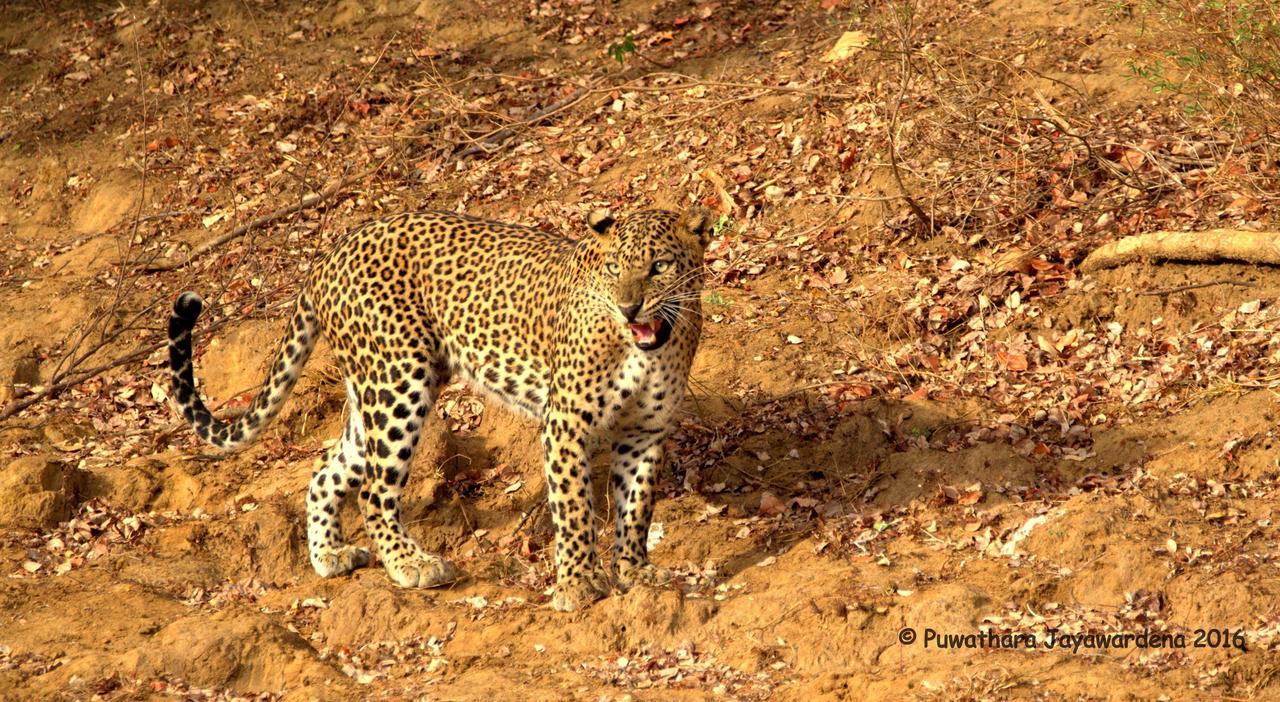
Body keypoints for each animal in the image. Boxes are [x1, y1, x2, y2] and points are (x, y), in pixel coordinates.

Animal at [165, 202, 716, 609]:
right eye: (613, 269)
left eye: (660, 267)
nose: (628, 307)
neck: (649, 349)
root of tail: (329, 253)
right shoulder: (565, 425)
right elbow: (575, 508)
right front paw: (578, 584)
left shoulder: (645, 433)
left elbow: (636, 506)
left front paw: (636, 572)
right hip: (397, 384)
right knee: (374, 492)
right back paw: (412, 565)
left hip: (374, 396)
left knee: (326, 472)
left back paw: (328, 556)